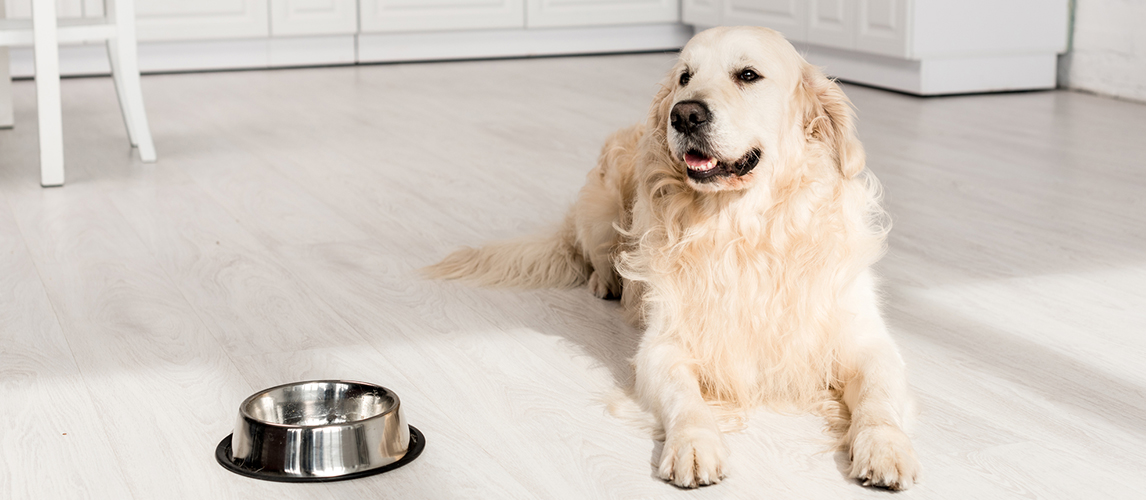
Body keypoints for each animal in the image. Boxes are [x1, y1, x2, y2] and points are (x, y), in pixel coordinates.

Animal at [428, 26, 921, 488]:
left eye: (748, 75)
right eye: (685, 76)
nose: (683, 113)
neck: (743, 230)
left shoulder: (865, 340)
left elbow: (878, 397)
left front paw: (885, 447)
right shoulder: (663, 345)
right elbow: (686, 399)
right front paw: (694, 445)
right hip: (601, 211)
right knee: (595, 256)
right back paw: (608, 283)